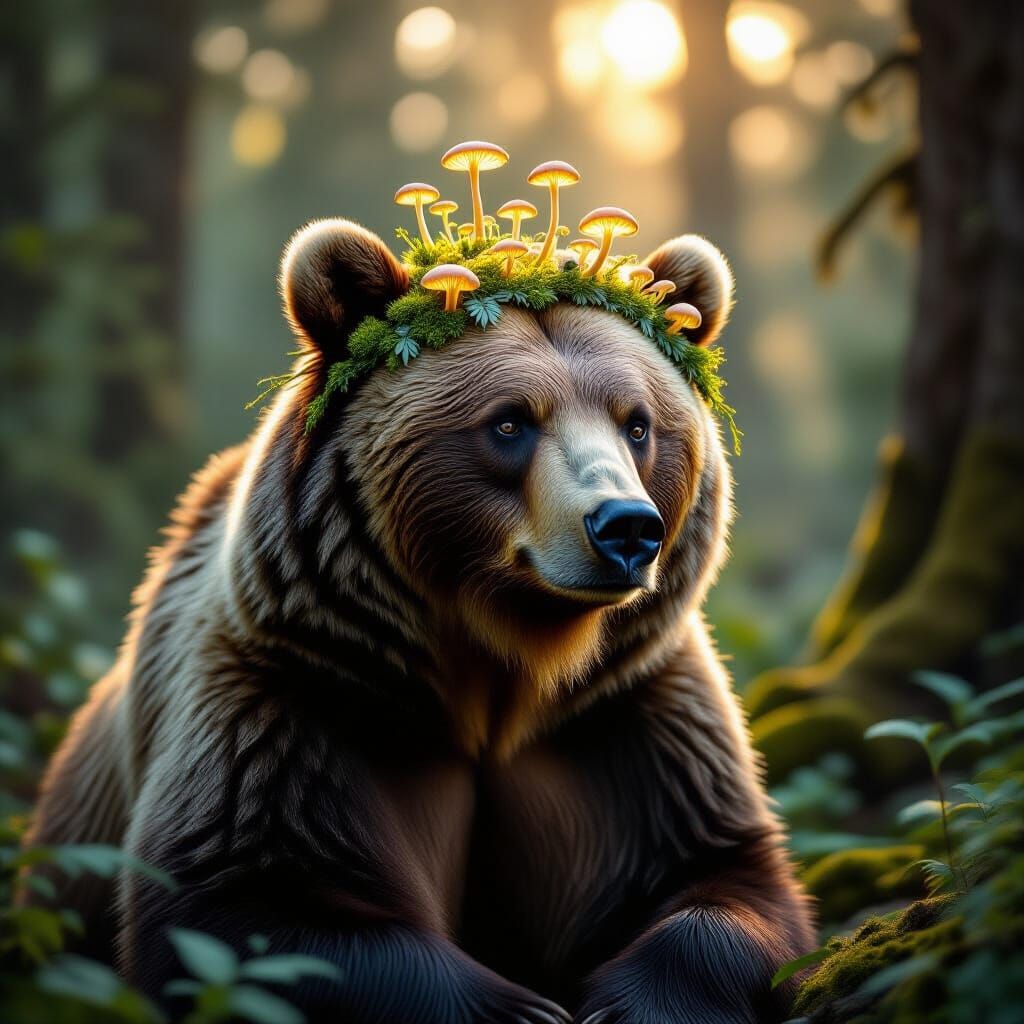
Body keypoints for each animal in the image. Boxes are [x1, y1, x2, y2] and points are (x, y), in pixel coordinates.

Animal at [25, 218, 815, 1023]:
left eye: (638, 424)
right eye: (509, 422)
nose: (625, 528)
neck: (503, 670)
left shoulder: (622, 719)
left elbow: (724, 879)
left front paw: (633, 1002)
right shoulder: (298, 693)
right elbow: (243, 906)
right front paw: (521, 1008)